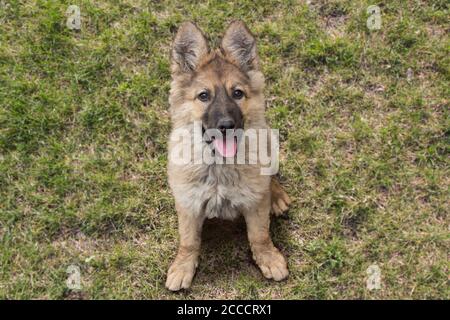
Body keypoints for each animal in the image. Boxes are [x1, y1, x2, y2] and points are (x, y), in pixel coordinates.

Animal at [166, 19, 292, 290]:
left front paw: (268, 258)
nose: (226, 125)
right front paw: (183, 267)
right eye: (204, 96)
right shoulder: (188, 204)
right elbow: (189, 241)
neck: (218, 166)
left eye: (237, 93)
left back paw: (276, 195)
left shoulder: (254, 204)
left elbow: (259, 235)